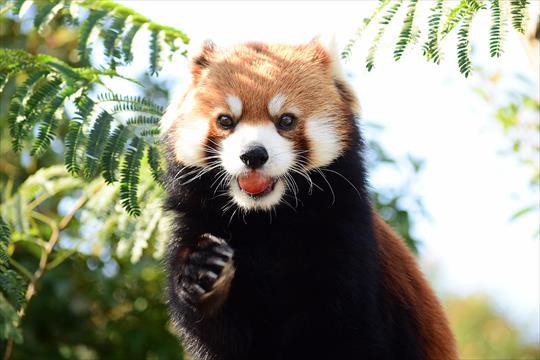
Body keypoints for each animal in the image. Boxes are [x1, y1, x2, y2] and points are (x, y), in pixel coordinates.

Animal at [160, 40, 456, 360]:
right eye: (226, 121)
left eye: (286, 120)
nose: (253, 154)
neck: (265, 219)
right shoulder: (198, 221)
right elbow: (219, 336)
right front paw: (205, 273)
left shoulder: (346, 239)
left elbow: (345, 331)